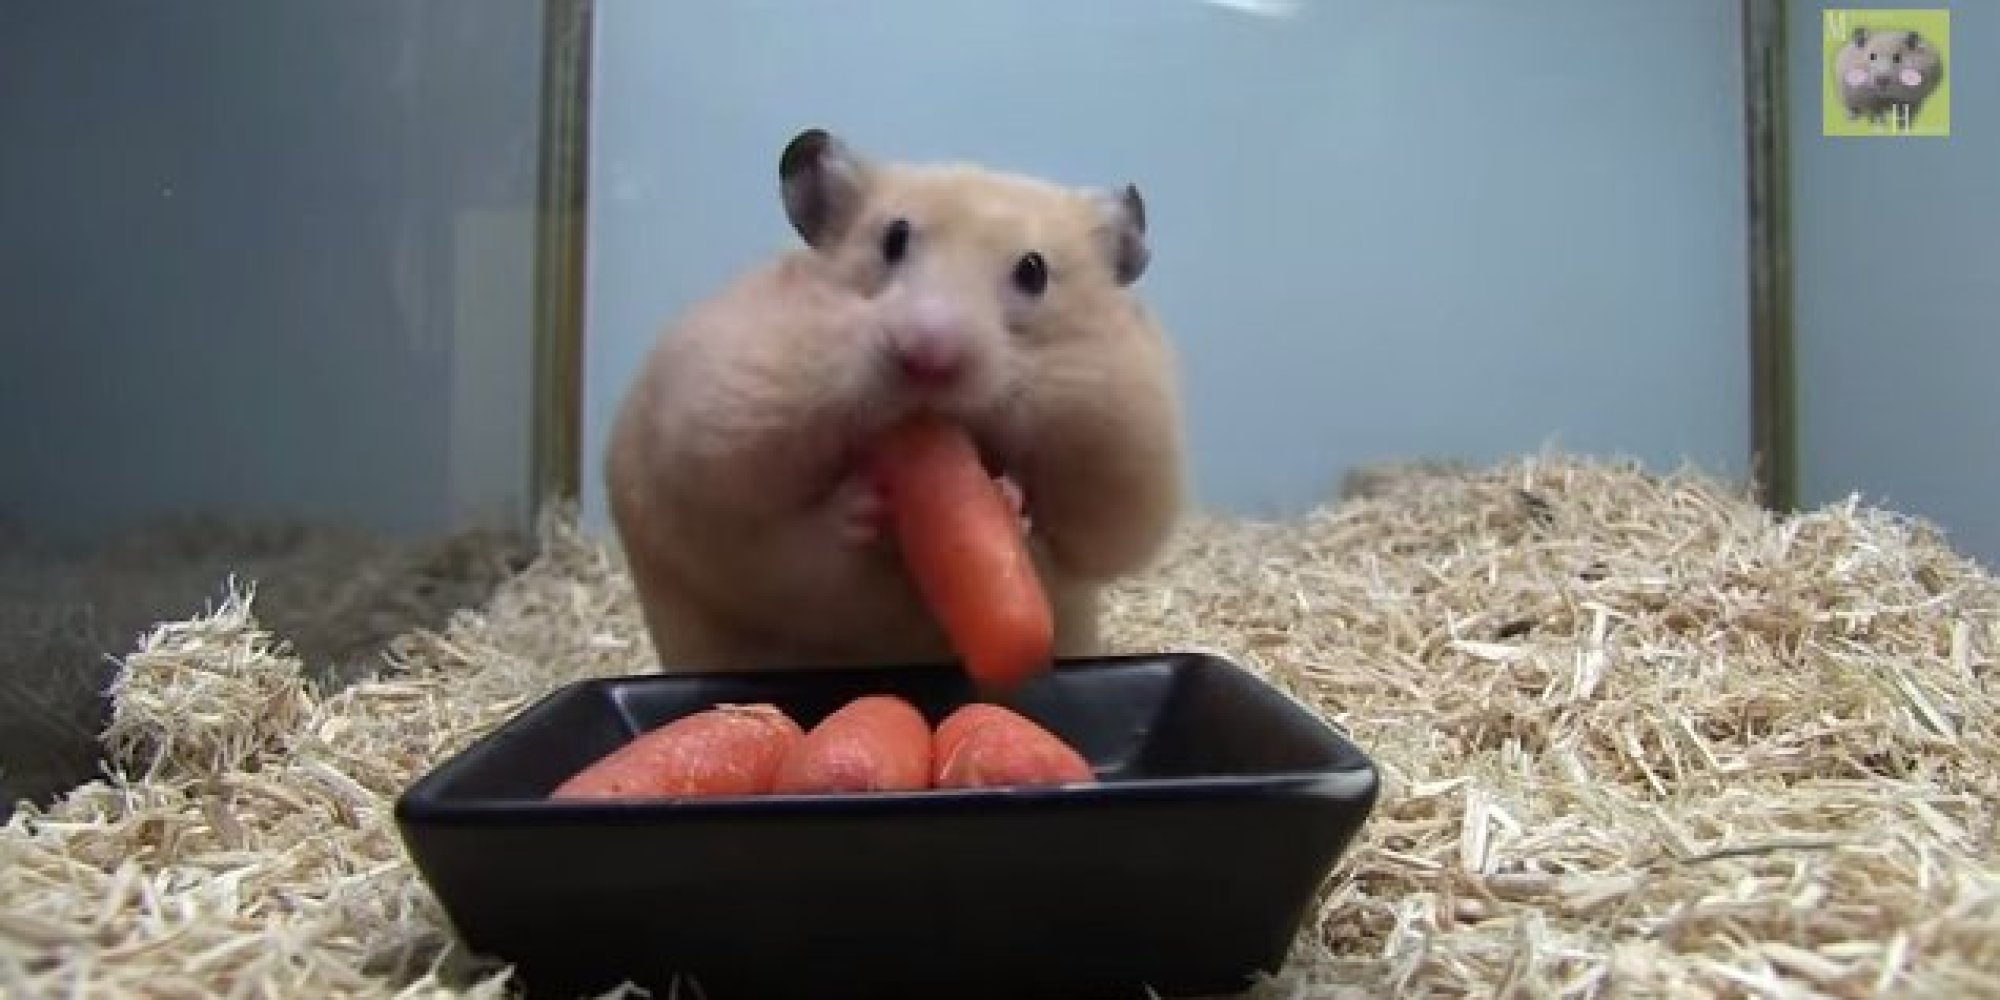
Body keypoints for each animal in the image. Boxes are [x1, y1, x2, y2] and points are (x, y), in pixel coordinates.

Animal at [604, 127, 1188, 673]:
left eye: (1033, 272)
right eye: (893, 239)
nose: (928, 356)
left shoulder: (1112, 498)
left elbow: (1063, 542)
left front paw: (1007, 496)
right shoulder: (716, 463)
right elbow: (791, 548)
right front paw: (864, 501)